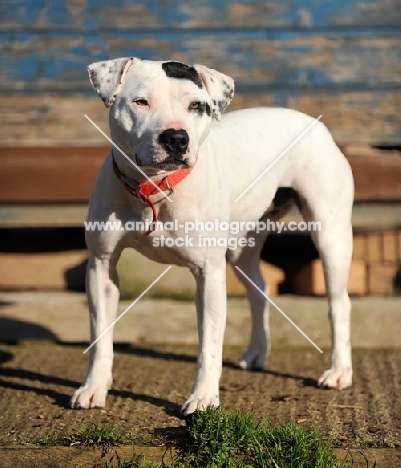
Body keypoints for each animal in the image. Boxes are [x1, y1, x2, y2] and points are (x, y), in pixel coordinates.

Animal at [70, 59, 352, 416]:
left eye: (196, 105)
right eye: (140, 102)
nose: (176, 137)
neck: (155, 188)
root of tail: (314, 123)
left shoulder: (209, 275)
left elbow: (209, 345)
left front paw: (203, 398)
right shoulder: (102, 265)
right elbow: (100, 335)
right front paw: (94, 387)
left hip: (330, 237)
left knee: (338, 303)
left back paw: (339, 371)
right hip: (242, 248)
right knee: (259, 291)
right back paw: (256, 353)